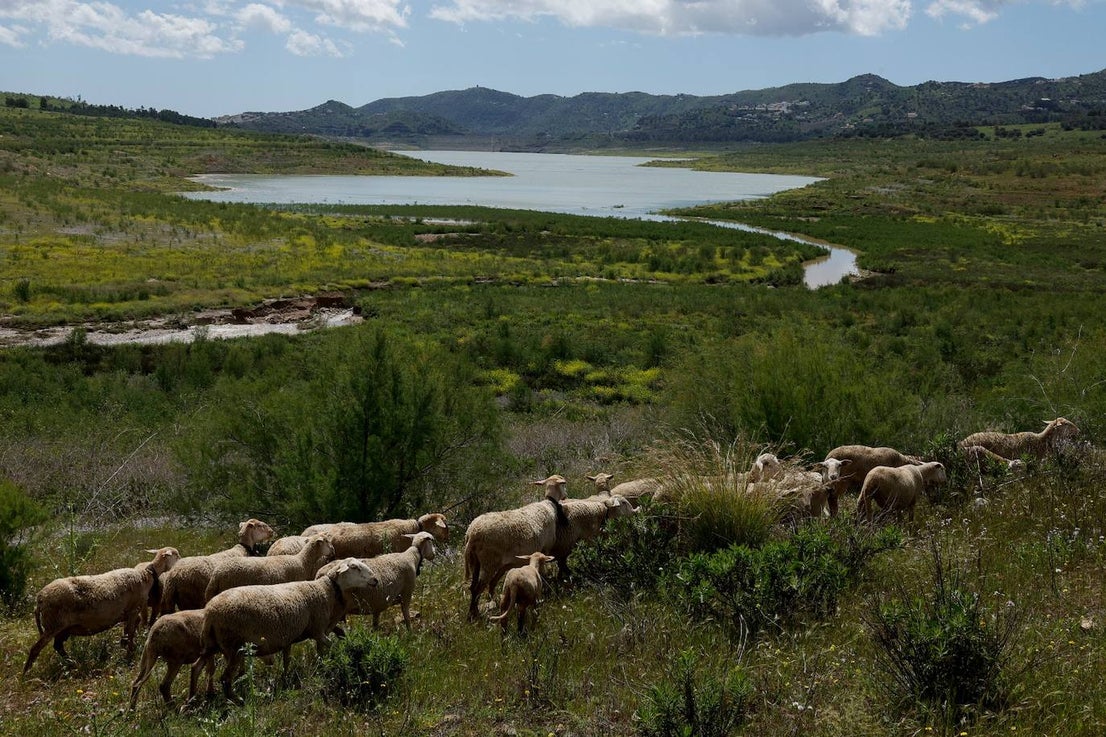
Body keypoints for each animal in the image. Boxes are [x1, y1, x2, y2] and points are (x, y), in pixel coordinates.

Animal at [24, 547, 181, 674]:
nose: (182, 560)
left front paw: (125, 647)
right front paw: (129, 655)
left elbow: (127, 632)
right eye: (177, 555)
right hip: (53, 624)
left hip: (62, 627)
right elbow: (130, 633)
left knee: (57, 646)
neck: (146, 575)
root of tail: (39, 599)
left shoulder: (130, 613)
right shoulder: (133, 610)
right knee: (35, 649)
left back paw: (72, 663)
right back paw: (26, 673)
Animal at [198, 558, 379, 703]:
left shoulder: (288, 637)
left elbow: (288, 659)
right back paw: (236, 700)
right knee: (224, 678)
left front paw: (288, 677)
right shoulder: (318, 630)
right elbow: (331, 646)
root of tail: (210, 613)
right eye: (354, 567)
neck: (326, 590)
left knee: (205, 668)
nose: (375, 580)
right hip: (234, 647)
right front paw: (342, 657)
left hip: (215, 646)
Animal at [463, 475, 568, 621]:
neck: (549, 505)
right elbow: (543, 572)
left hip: (476, 562)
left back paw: (475, 612)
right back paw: (476, 615)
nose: (566, 496)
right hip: (489, 562)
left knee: (474, 587)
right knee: (477, 589)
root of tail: (471, 534)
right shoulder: (545, 548)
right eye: (563, 485)